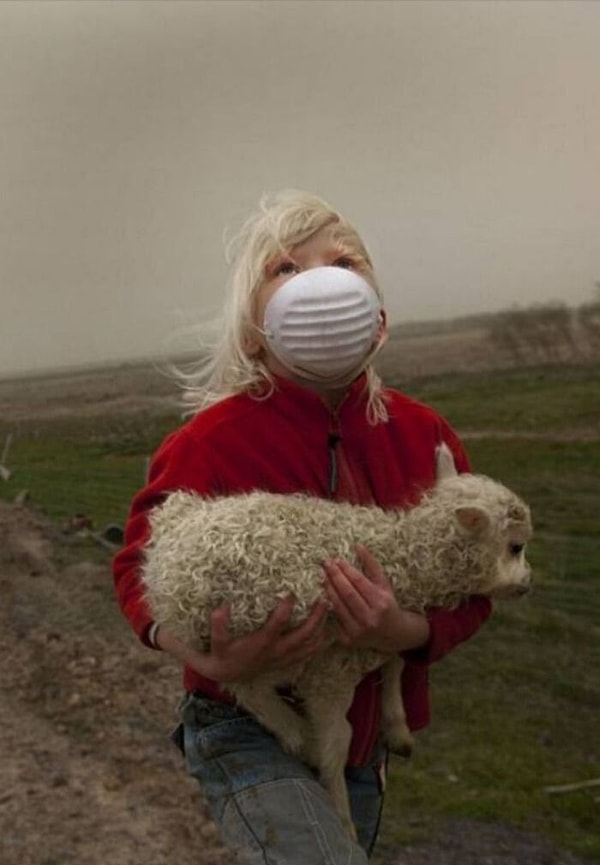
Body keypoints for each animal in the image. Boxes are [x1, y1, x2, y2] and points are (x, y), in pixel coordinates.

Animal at [143, 442, 532, 832]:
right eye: (516, 546)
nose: (527, 583)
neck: (405, 558)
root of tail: (171, 535)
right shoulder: (330, 670)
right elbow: (339, 740)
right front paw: (343, 817)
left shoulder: (380, 629)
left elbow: (396, 663)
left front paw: (397, 728)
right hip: (247, 639)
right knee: (245, 685)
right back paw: (296, 735)